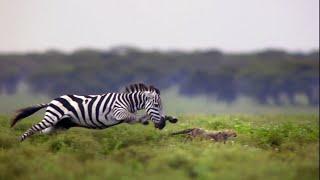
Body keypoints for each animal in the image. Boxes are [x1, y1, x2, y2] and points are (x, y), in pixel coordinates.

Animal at [10, 83, 178, 141]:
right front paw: (145, 120)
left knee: (41, 132)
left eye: (160, 105)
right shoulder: (118, 112)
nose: (162, 125)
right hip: (52, 118)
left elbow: (141, 115)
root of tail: (52, 101)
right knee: (33, 128)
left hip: (60, 125)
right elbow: (135, 116)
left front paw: (171, 118)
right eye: (156, 105)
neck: (128, 102)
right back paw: (19, 143)